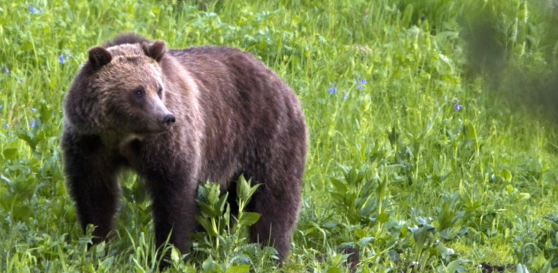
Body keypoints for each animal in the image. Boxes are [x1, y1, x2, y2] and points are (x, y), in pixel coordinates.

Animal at [61, 33, 308, 264]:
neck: (124, 137)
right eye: (138, 91)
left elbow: (174, 199)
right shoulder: (90, 145)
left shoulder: (168, 146)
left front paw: (169, 254)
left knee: (274, 202)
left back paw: (271, 254)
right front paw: (97, 246)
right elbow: (94, 195)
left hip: (268, 138)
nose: (166, 118)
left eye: (159, 89)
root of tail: (282, 82)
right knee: (225, 207)